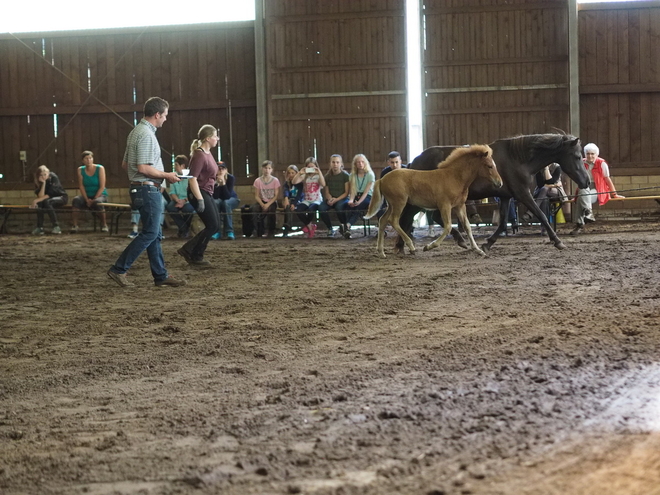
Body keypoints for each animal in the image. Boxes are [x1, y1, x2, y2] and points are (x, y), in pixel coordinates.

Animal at [394, 134, 592, 252]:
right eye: (576, 156)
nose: (587, 181)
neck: (518, 159)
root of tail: (414, 161)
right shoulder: (522, 194)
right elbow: (541, 215)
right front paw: (558, 241)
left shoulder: (506, 197)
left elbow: (503, 222)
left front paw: (488, 243)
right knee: (408, 218)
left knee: (419, 218)